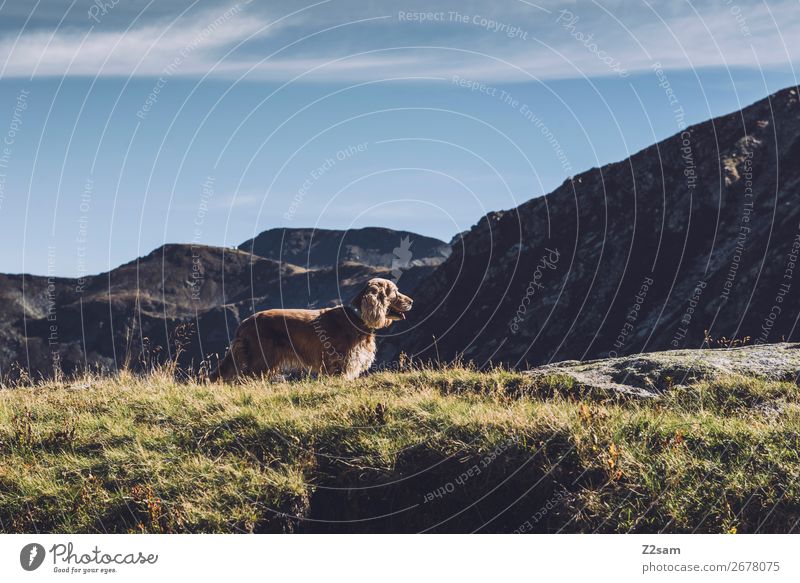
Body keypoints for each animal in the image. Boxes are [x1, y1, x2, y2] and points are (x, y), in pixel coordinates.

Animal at [209, 278, 412, 384]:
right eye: (395, 292)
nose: (411, 301)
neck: (356, 317)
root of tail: (244, 322)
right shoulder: (339, 362)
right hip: (262, 358)